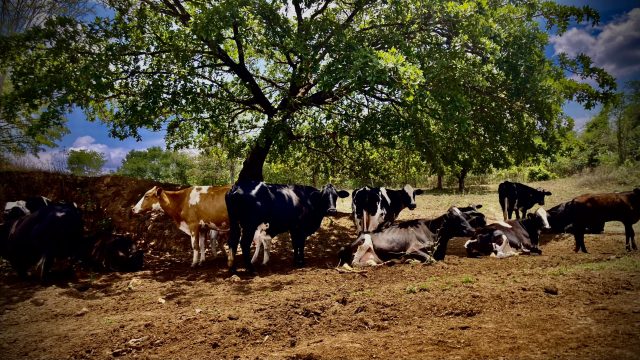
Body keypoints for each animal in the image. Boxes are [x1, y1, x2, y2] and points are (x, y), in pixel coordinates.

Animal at [340, 207, 476, 266]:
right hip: (364, 241)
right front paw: (410, 260)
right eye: (455, 218)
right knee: (355, 263)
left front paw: (411, 260)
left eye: (465, 216)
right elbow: (430, 259)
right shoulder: (412, 249)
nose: (473, 230)